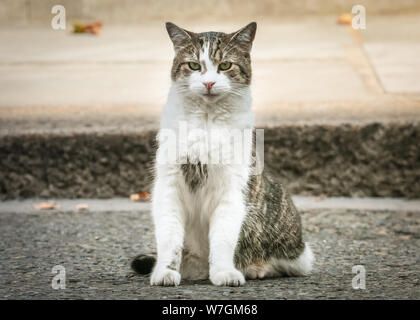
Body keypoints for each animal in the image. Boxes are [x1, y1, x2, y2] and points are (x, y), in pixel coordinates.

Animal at [130, 22, 312, 288]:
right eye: (194, 65)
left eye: (225, 65)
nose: (208, 83)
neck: (206, 121)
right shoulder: (169, 187)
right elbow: (169, 239)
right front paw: (165, 272)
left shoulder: (231, 190)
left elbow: (223, 237)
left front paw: (225, 272)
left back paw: (254, 268)